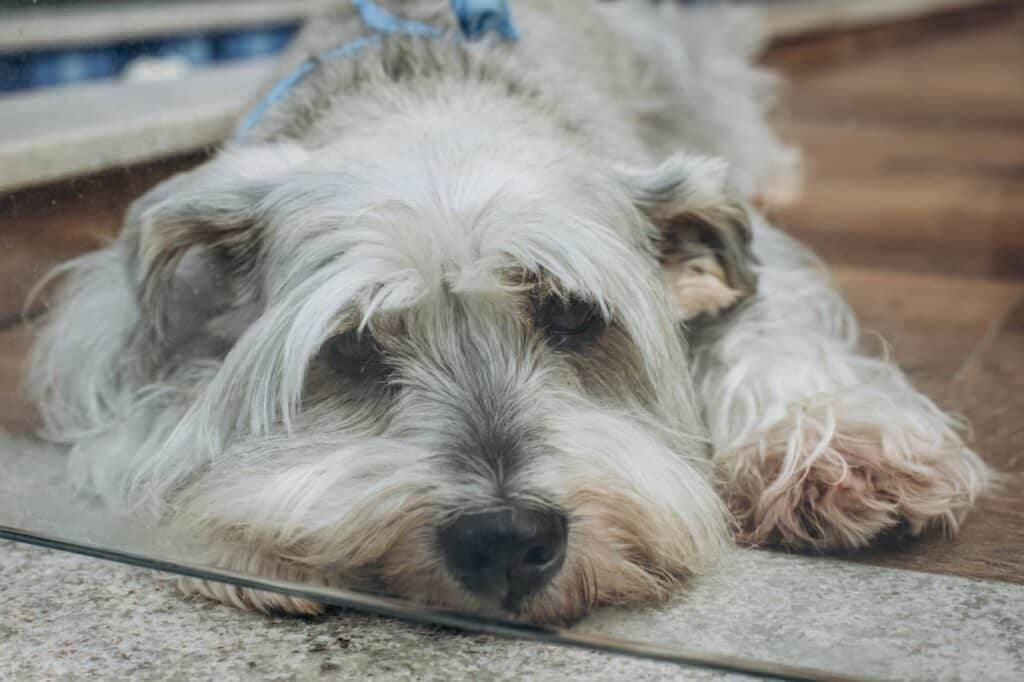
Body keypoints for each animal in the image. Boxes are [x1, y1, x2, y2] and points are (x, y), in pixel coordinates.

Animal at [29, 0, 991, 622]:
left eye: (573, 316)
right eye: (352, 348)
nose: (504, 539)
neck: (435, 98)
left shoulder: (753, 261)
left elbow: (770, 325)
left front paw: (846, 449)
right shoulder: (108, 328)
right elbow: (156, 413)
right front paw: (249, 531)